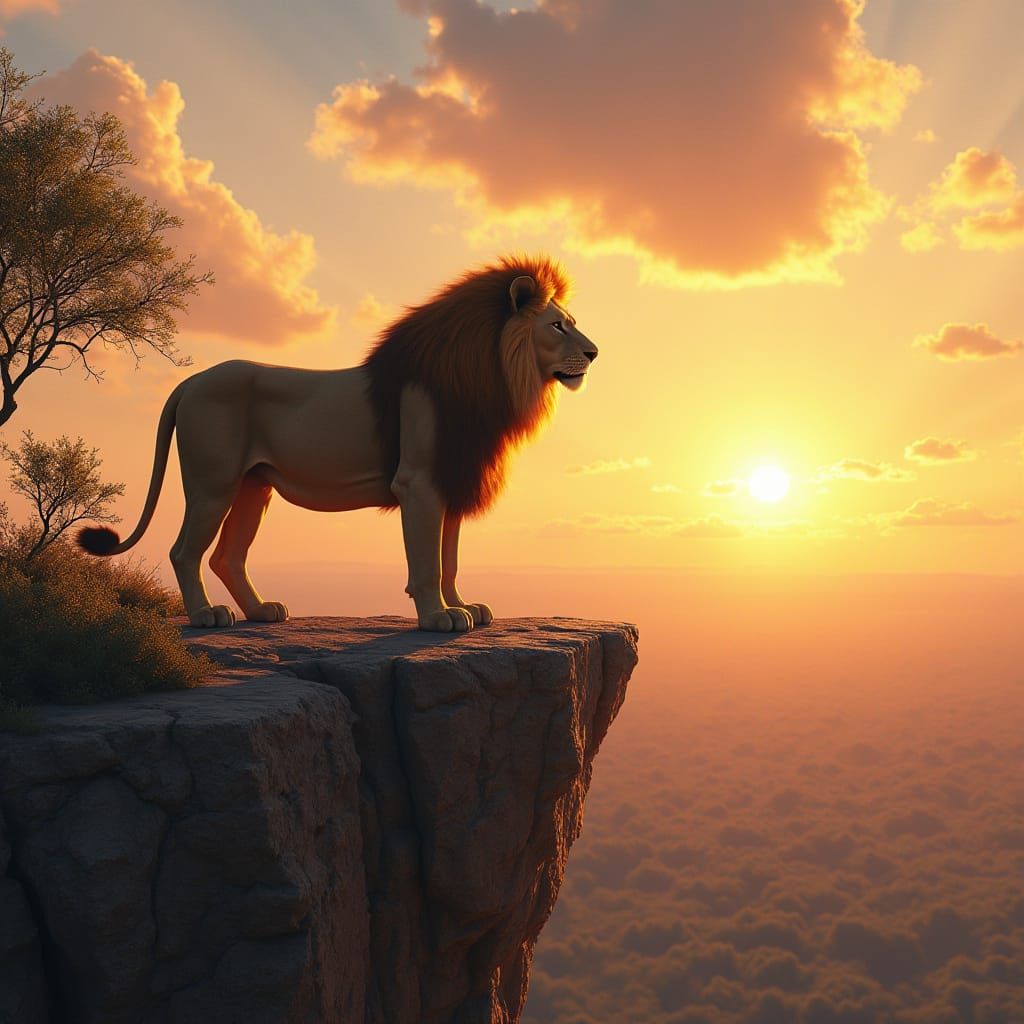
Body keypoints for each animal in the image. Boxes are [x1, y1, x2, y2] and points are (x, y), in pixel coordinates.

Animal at [78, 255, 598, 631]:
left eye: (570, 321)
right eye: (557, 325)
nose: (594, 352)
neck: (490, 378)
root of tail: (191, 381)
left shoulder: (453, 478)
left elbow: (449, 558)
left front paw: (464, 606)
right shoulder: (419, 483)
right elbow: (427, 561)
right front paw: (438, 618)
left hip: (254, 488)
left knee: (228, 556)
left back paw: (261, 611)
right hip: (213, 485)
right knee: (184, 551)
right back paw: (206, 616)